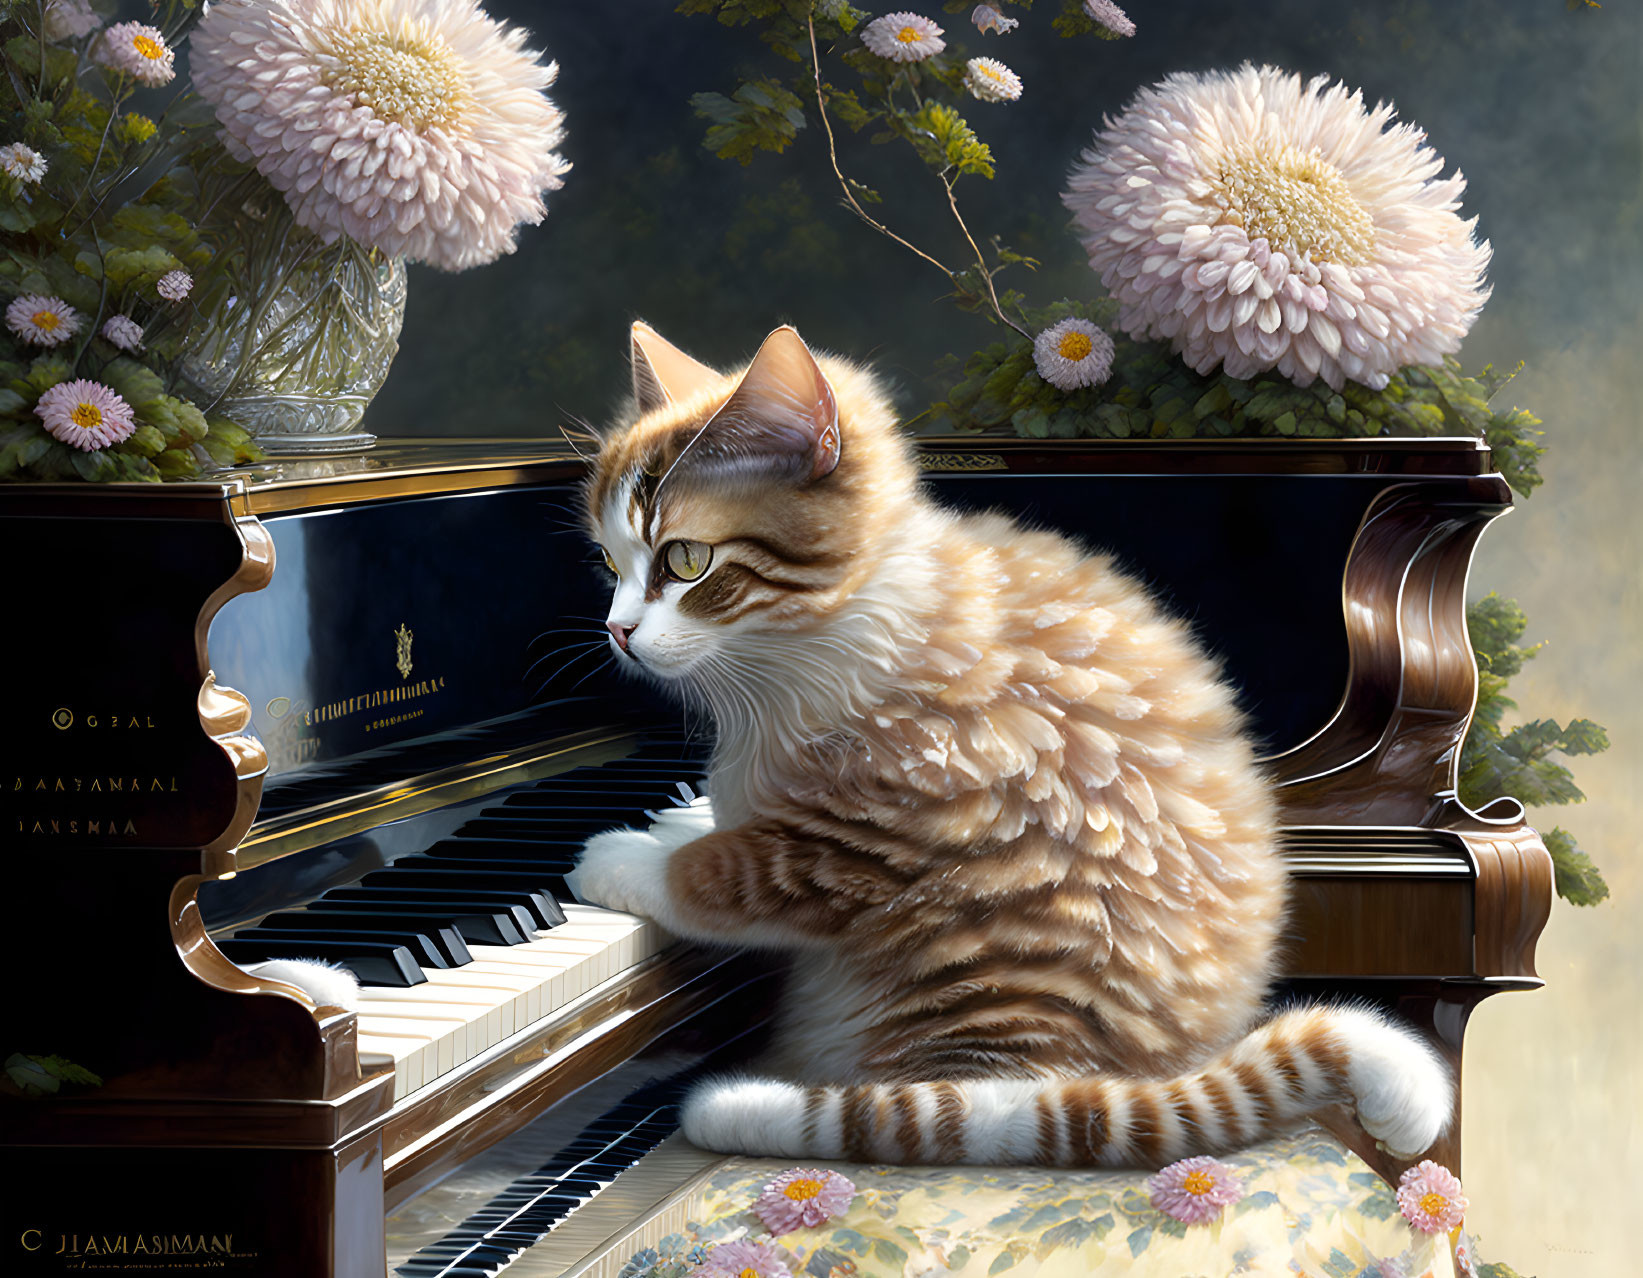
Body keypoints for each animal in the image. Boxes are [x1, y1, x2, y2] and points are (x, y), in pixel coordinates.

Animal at [568, 321, 1452, 1163]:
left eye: (686, 560)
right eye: (606, 560)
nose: (616, 631)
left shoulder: (885, 828)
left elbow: (731, 871)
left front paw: (626, 857)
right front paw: (674, 817)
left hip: (993, 966)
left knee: (961, 1109)